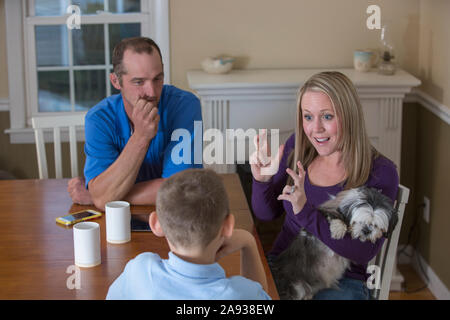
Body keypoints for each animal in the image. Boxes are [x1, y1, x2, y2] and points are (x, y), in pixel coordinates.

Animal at [268, 185, 396, 300]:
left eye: (376, 225)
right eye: (359, 221)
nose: (366, 230)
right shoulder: (323, 215)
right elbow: (332, 216)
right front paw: (338, 229)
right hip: (296, 287)